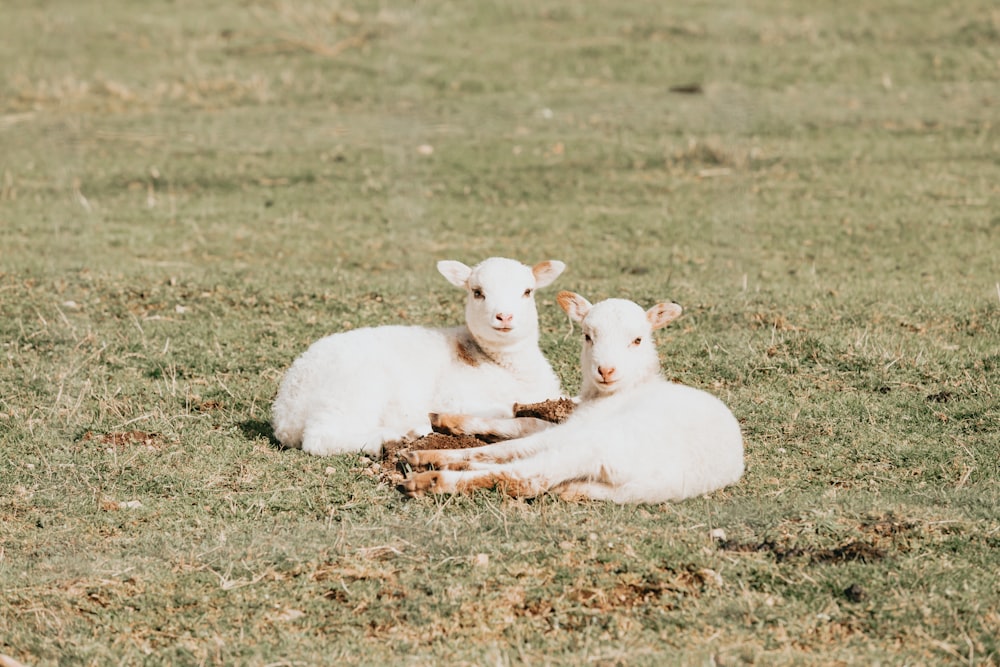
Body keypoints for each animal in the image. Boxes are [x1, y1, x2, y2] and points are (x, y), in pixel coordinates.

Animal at [272, 258, 572, 456]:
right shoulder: (455, 397)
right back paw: (392, 439)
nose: (504, 316)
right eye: (477, 293)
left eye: (527, 291)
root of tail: (285, 411)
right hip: (351, 390)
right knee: (320, 438)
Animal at [398, 290, 744, 504]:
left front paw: (436, 447)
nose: (606, 370)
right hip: (613, 487)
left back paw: (430, 475)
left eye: (638, 340)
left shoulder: (582, 424)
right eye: (587, 336)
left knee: (524, 475)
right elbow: (525, 425)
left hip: (599, 442)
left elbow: (514, 439)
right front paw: (449, 420)